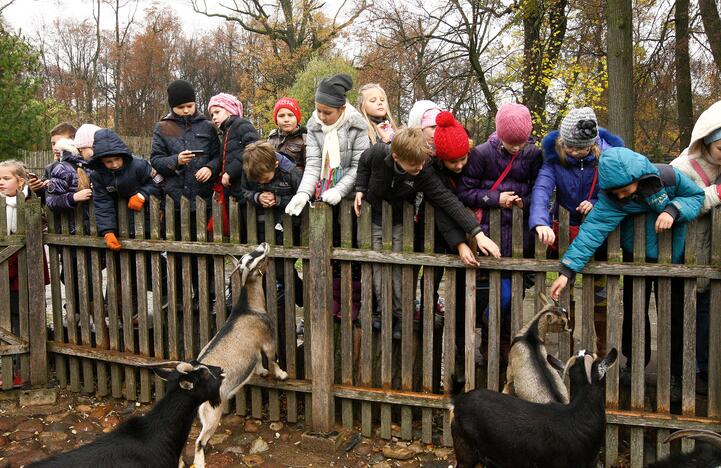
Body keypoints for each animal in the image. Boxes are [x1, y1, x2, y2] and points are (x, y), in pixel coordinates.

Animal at [191, 243, 286, 468]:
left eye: (251, 253)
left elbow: (258, 358)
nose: (264, 244)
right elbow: (272, 357)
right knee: (199, 441)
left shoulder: (255, 345)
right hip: (212, 412)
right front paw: (281, 374)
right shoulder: (268, 339)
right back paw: (200, 461)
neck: (249, 308)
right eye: (255, 258)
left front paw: (261, 371)